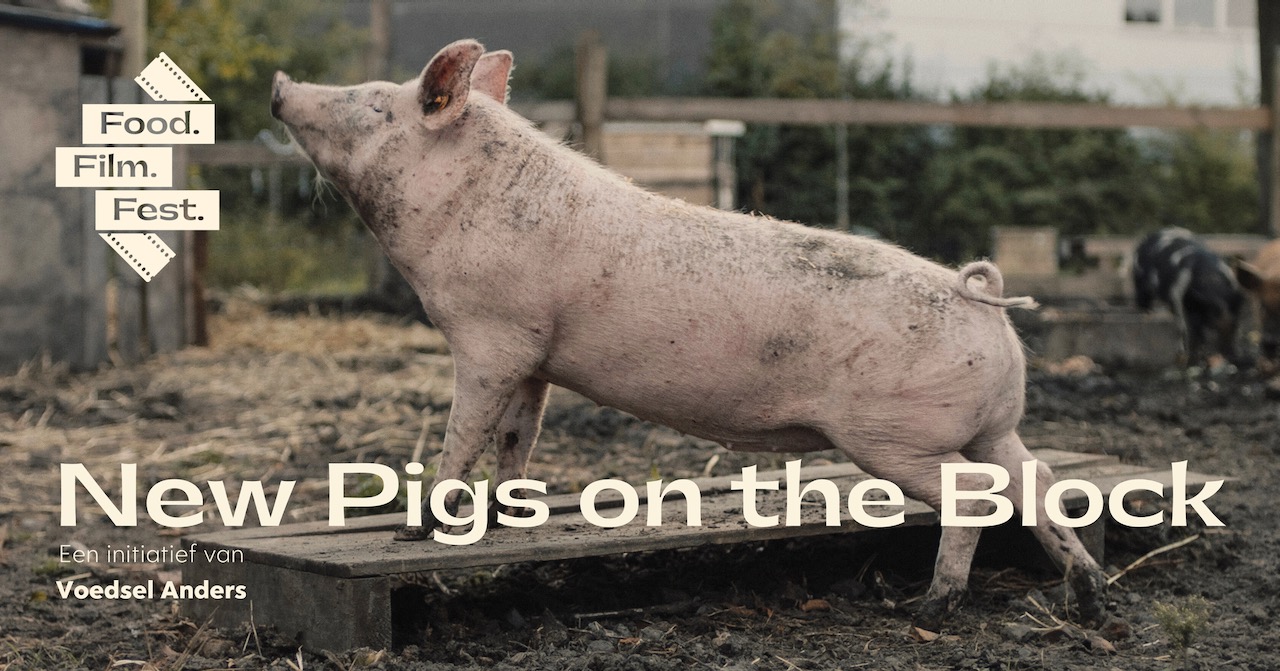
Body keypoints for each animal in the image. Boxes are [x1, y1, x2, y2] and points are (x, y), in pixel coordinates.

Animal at [270, 39, 1107, 631]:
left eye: (376, 105)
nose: (279, 84)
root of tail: (978, 297)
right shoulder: (533, 352)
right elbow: (518, 434)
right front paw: (509, 514)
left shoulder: (489, 336)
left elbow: (464, 432)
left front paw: (415, 533)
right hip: (997, 426)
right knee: (1039, 483)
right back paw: (1088, 597)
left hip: (894, 435)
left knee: (977, 497)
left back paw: (928, 611)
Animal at [1131, 228, 1246, 366]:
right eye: (1213, 326)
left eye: (1234, 325)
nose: (1231, 356)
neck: (1214, 285)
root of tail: (1149, 236)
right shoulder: (1177, 297)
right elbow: (1185, 328)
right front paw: (1191, 359)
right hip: (1140, 282)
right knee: (1143, 299)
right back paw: (1147, 312)